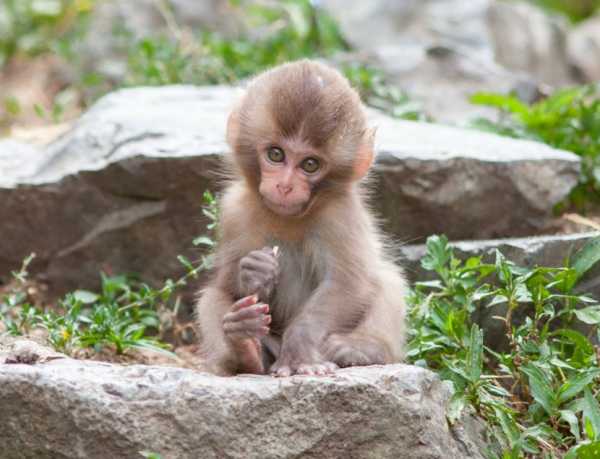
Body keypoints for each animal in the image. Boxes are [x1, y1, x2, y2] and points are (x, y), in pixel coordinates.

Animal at [197, 59, 408, 378]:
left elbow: (347, 283)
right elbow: (226, 286)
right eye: (276, 154)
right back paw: (243, 349)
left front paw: (300, 352)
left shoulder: (340, 216)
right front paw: (253, 272)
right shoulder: (234, 210)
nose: (285, 186)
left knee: (387, 279)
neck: (289, 218)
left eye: (310, 164)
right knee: (211, 297)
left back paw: (362, 349)